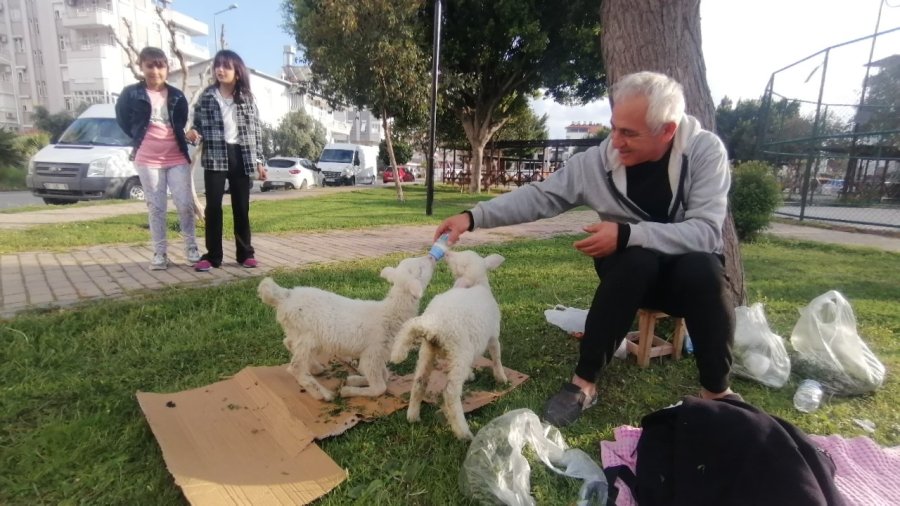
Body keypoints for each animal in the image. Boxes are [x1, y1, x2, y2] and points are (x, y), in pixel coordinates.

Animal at [256, 255, 436, 402]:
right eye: (420, 268)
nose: (431, 257)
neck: (389, 314)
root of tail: (284, 296)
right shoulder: (372, 353)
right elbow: (380, 387)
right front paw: (348, 390)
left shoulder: (377, 356)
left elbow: (384, 375)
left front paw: (355, 380)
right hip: (307, 334)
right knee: (295, 367)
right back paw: (323, 394)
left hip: (297, 332)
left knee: (288, 343)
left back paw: (315, 368)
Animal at [392, 251, 510, 440]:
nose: (447, 253)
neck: (478, 285)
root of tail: (433, 322)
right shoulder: (493, 335)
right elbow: (496, 356)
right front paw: (501, 377)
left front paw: (470, 374)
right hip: (459, 351)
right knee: (450, 393)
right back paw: (463, 432)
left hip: (428, 350)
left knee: (419, 382)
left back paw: (413, 416)